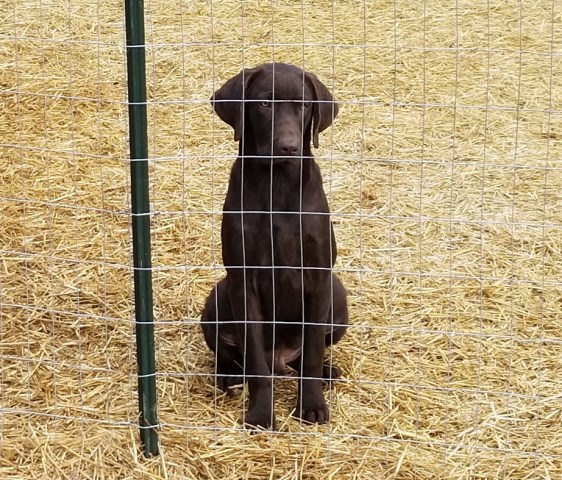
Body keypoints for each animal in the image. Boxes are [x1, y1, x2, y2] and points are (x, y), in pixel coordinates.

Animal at [197, 62, 346, 428]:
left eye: (303, 105)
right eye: (264, 104)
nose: (289, 146)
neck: (277, 185)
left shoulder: (319, 276)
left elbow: (311, 354)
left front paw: (311, 404)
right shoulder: (243, 280)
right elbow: (255, 364)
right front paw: (261, 413)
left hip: (338, 296)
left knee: (305, 357)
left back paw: (327, 372)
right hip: (218, 297)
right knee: (235, 357)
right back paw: (227, 375)